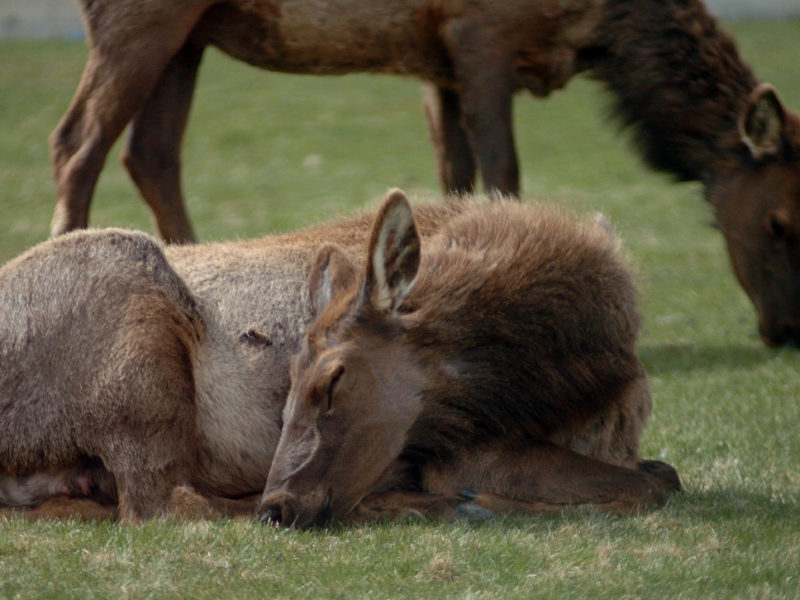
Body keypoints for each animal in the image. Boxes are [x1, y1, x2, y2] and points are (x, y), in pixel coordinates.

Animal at [51, 1, 800, 346]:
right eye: (779, 220)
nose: (787, 330)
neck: (602, 29)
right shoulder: (479, 34)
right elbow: (502, 171)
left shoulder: (437, 61)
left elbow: (455, 177)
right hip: (139, 21)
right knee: (77, 144)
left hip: (190, 35)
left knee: (150, 151)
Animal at [258, 190, 680, 528]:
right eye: (289, 381)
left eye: (333, 379)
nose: (274, 507)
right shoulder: (461, 455)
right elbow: (650, 486)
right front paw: (472, 503)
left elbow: (662, 479)